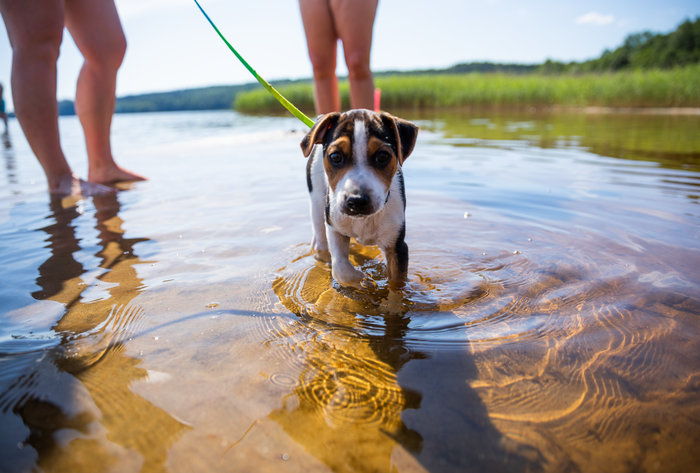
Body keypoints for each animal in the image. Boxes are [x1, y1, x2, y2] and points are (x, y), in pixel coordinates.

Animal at [300, 109, 416, 290]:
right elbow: (341, 269)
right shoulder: (334, 227)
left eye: (383, 156)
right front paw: (364, 281)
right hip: (317, 201)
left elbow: (397, 286)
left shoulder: (397, 247)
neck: (363, 220)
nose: (357, 201)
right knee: (320, 237)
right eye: (335, 156)